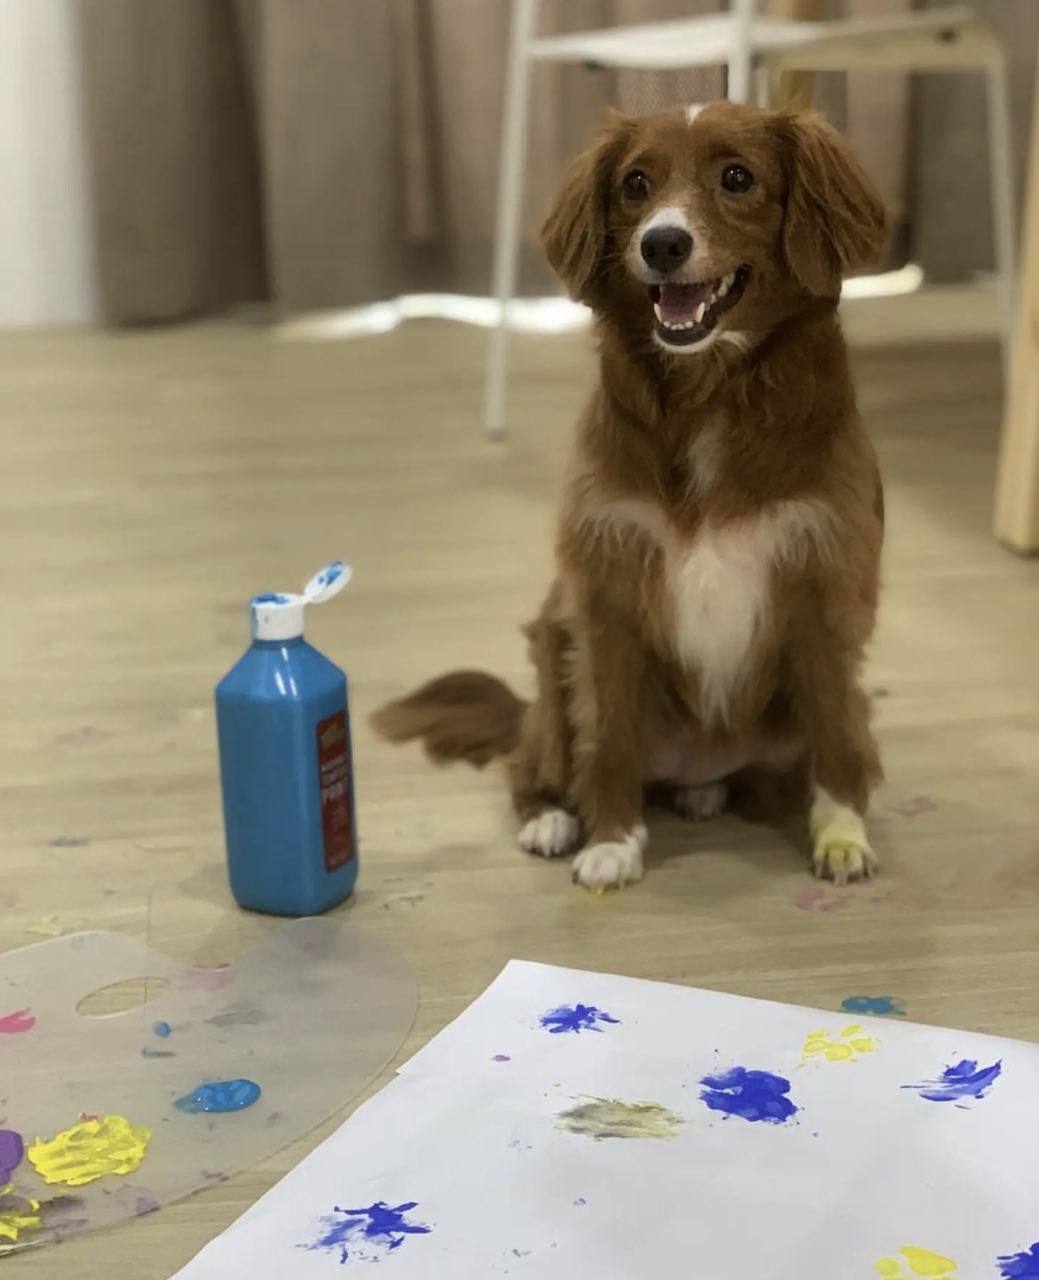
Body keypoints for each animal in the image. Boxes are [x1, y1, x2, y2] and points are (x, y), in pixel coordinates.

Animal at [373, 101, 888, 893]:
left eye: (736, 177)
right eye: (635, 184)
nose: (663, 243)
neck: (710, 396)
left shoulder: (824, 589)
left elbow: (838, 733)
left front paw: (839, 837)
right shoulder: (606, 594)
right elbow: (608, 737)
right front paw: (612, 841)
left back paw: (704, 793)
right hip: (552, 644)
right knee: (531, 761)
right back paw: (553, 817)